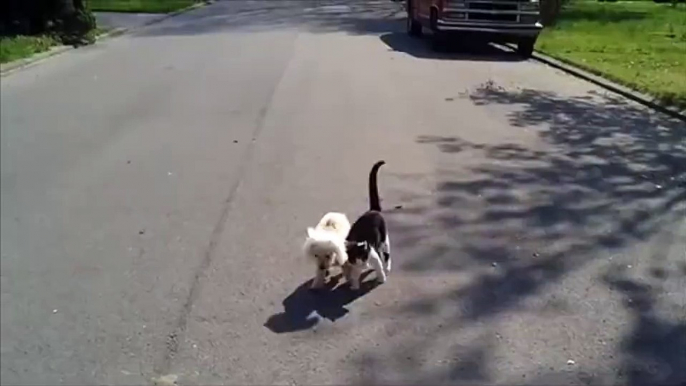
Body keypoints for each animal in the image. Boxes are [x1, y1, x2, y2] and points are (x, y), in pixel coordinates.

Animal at [344, 160, 392, 290]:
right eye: (357, 259)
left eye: (365, 257)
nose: (365, 265)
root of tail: (373, 210)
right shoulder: (353, 264)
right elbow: (354, 274)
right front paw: (354, 285)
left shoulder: (373, 255)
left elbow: (379, 268)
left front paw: (382, 279)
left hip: (384, 239)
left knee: (387, 254)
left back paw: (387, 267)